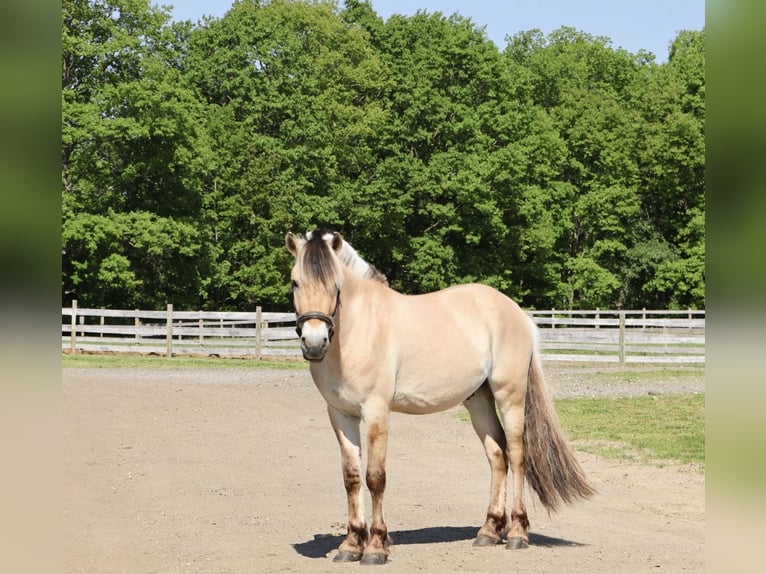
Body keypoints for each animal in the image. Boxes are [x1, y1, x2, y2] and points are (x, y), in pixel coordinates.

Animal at [285, 229, 594, 565]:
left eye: (336, 285)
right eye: (295, 282)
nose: (314, 342)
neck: (359, 331)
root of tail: (517, 313)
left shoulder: (376, 412)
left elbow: (375, 477)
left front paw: (376, 547)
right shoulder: (341, 414)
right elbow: (351, 477)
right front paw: (351, 545)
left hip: (509, 396)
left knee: (516, 454)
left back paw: (516, 534)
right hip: (478, 400)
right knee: (497, 455)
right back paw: (489, 530)